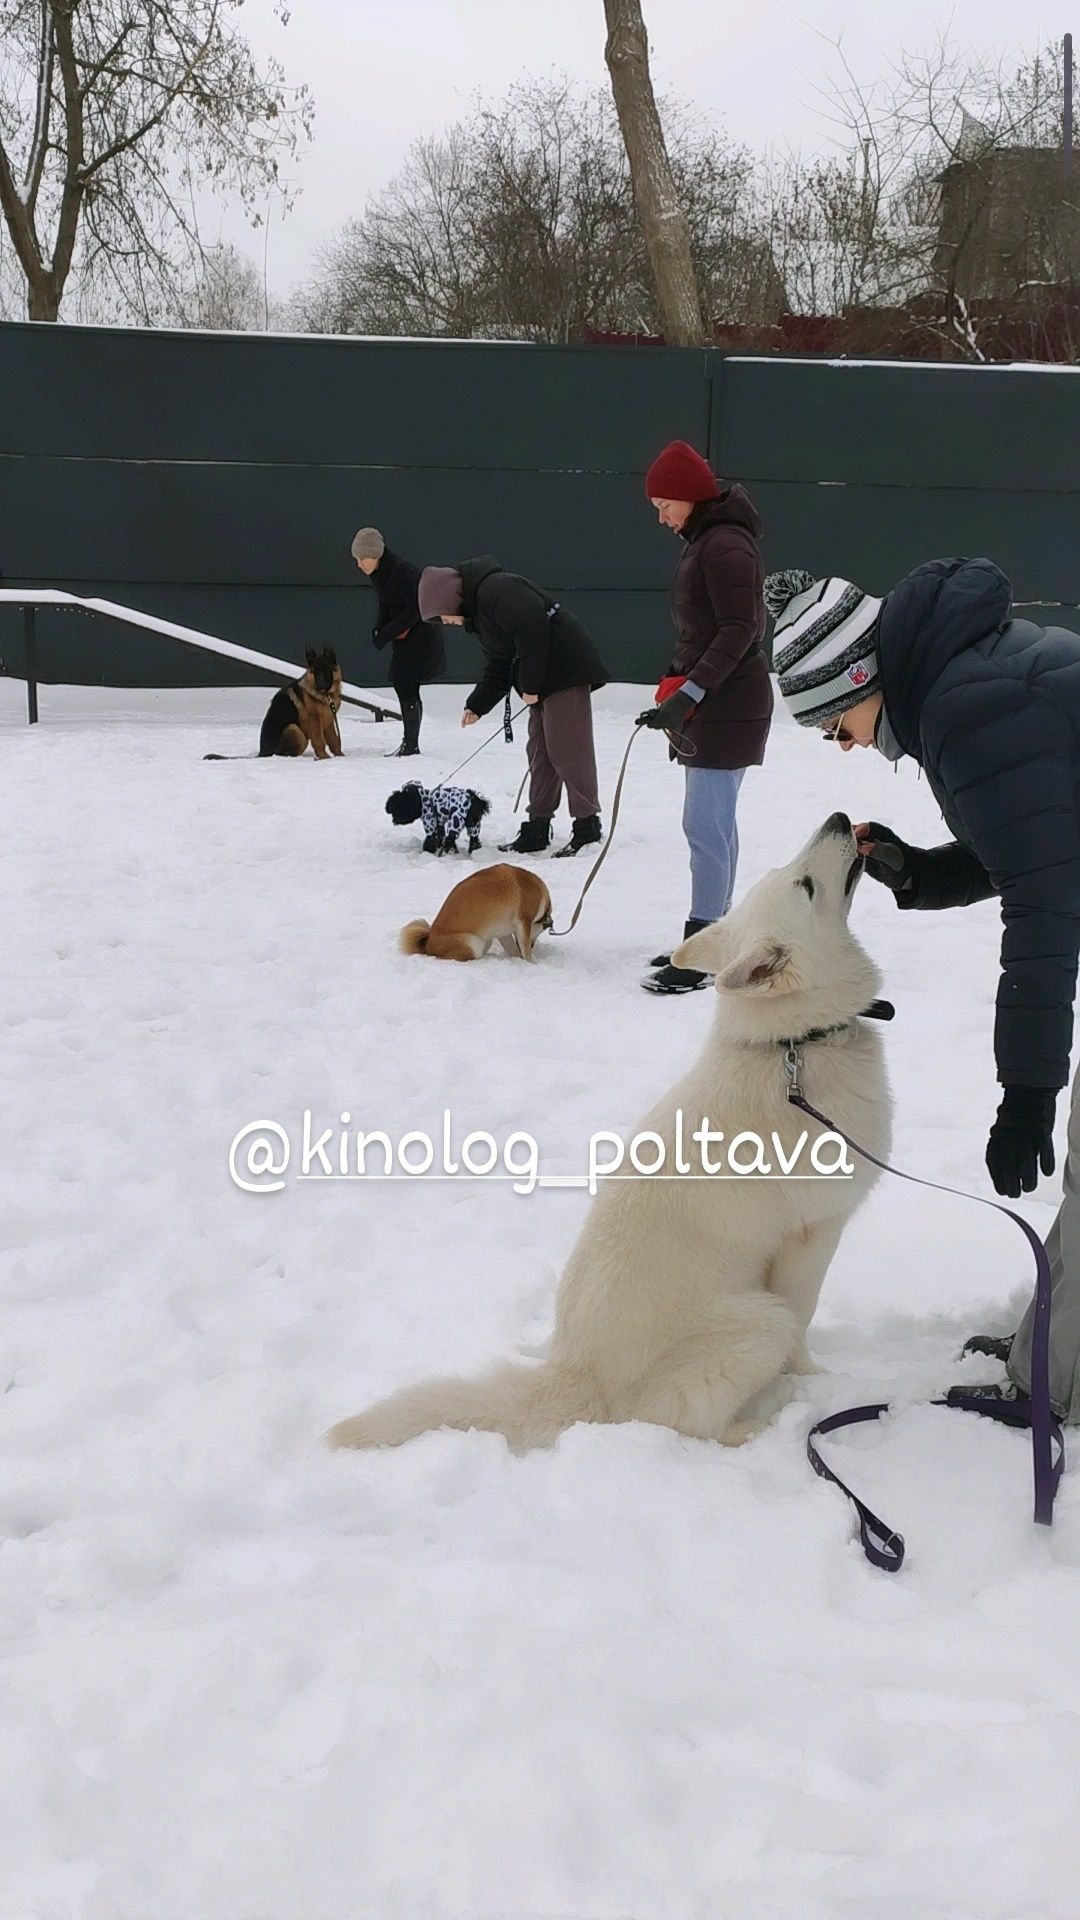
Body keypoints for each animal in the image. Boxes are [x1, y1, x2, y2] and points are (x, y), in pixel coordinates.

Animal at [199, 648, 338, 760]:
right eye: (315, 672)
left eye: (326, 670)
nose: (320, 687)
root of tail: (262, 753)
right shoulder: (316, 722)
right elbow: (320, 740)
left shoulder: (328, 722)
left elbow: (333, 740)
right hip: (294, 730)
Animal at [397, 867, 549, 960]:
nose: (533, 945)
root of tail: (428, 943)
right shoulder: (524, 921)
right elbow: (525, 950)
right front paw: (530, 963)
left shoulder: (504, 933)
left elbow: (513, 949)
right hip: (473, 943)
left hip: (485, 940)